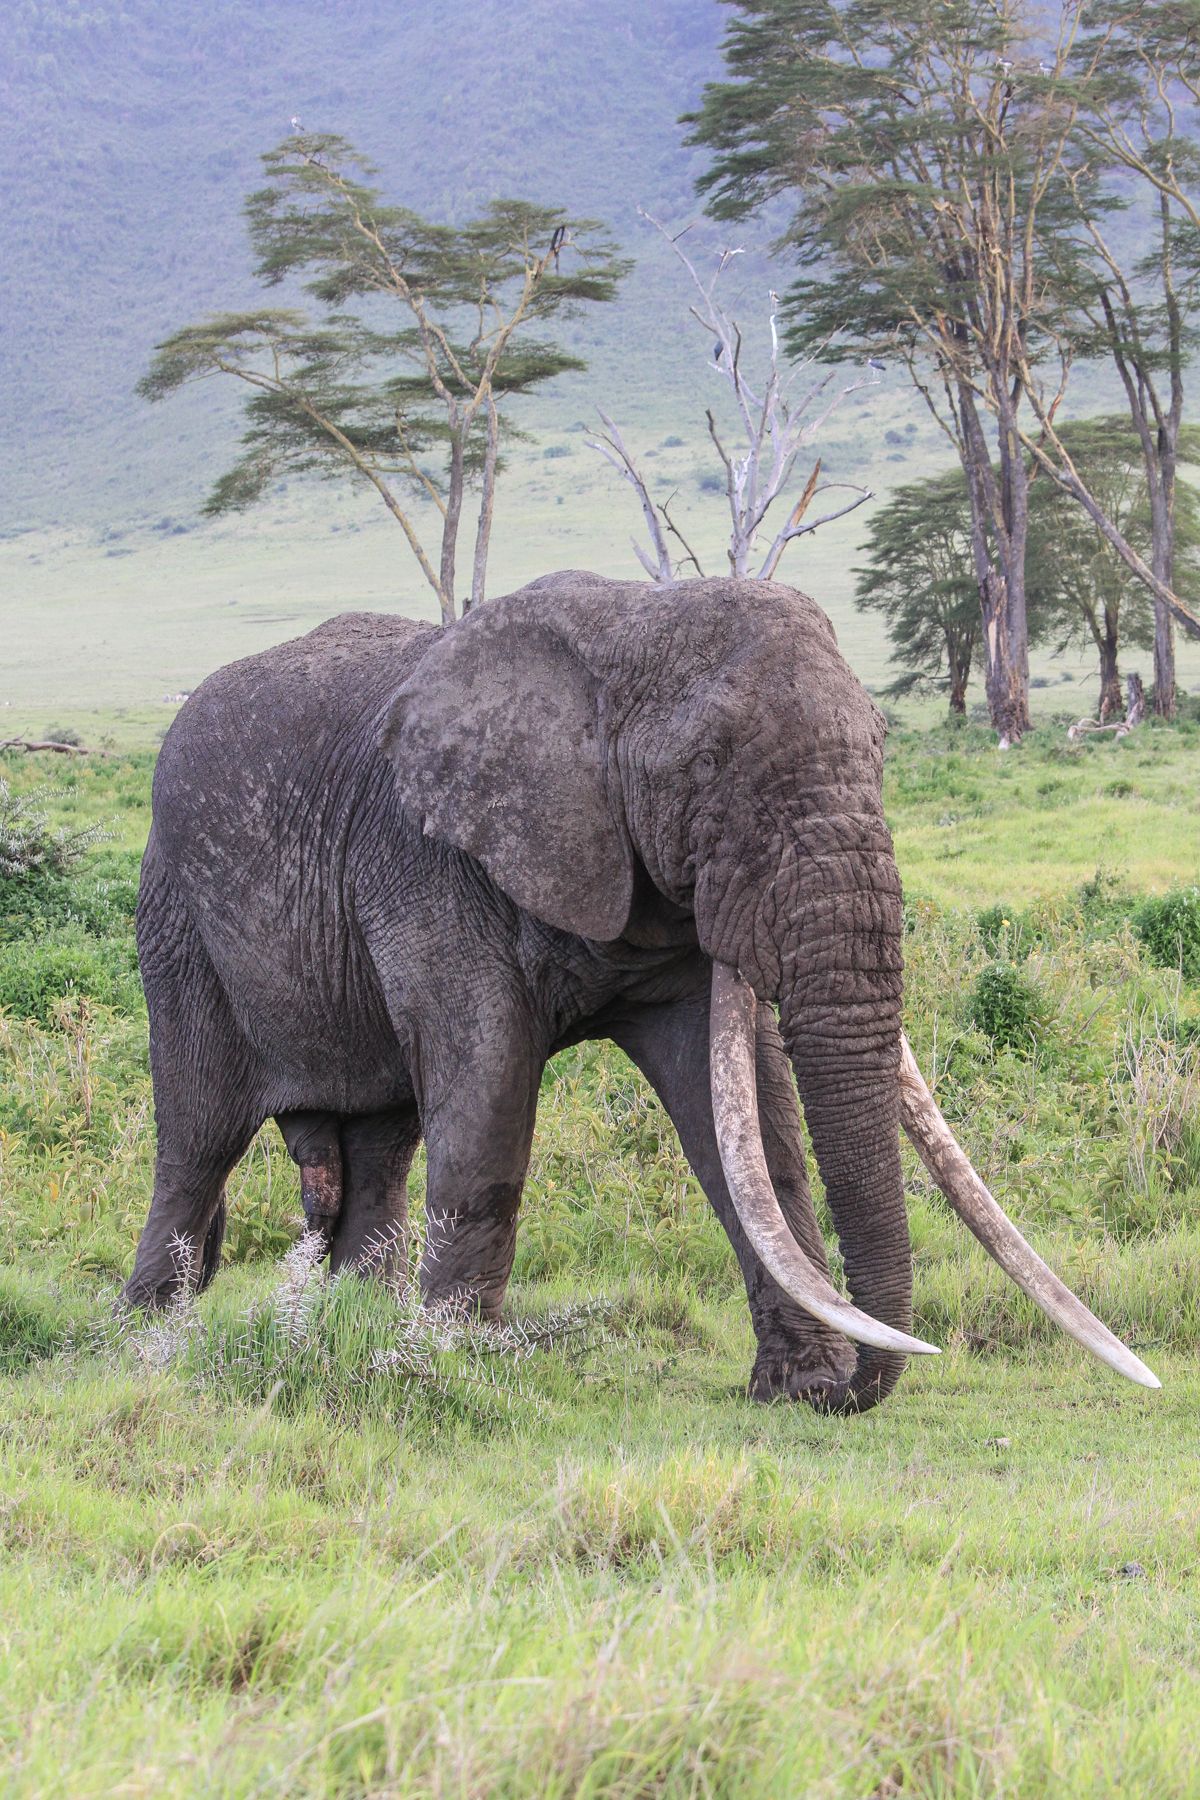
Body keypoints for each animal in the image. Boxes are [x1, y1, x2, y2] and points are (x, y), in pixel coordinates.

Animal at [126, 572, 1158, 1404]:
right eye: (703, 769)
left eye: (878, 748)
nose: (854, 1394)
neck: (627, 621)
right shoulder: (429, 859)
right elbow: (488, 1090)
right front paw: (454, 1370)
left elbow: (742, 1120)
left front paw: (798, 1389)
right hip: (176, 917)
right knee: (200, 1134)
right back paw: (150, 1342)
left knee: (378, 1141)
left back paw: (345, 1329)